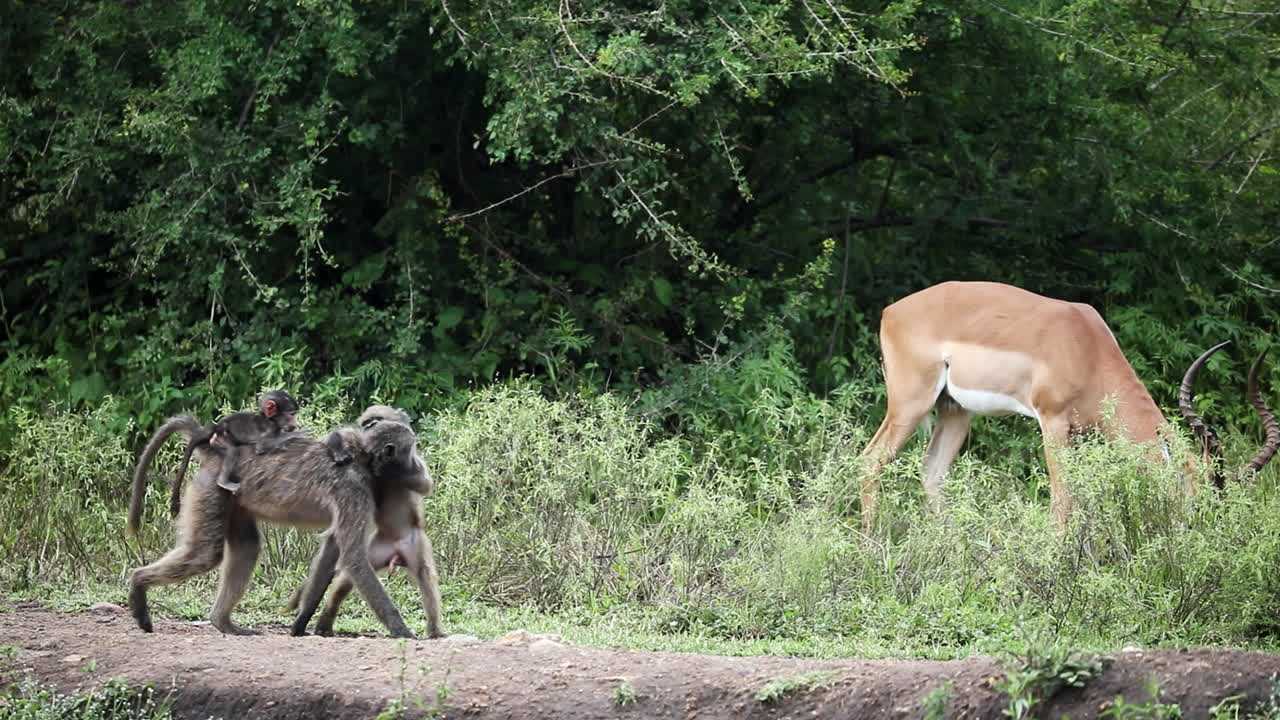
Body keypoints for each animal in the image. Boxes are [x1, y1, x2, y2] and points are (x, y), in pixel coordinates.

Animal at [127, 410, 423, 638]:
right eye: (411, 450)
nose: (419, 465)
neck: (363, 458)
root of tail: (213, 449)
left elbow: (332, 548)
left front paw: (300, 623)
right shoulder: (353, 491)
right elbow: (354, 556)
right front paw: (402, 631)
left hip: (235, 500)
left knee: (246, 547)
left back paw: (222, 622)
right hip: (211, 488)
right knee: (206, 554)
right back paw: (138, 584)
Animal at [167, 390, 301, 517]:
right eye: (291, 415)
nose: (296, 424)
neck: (269, 419)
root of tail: (217, 427)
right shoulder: (269, 429)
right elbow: (261, 446)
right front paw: (297, 434)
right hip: (222, 438)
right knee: (232, 451)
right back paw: (223, 482)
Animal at [287, 405, 445, 639]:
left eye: (377, 419)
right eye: (367, 422)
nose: (369, 427)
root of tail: (395, 553)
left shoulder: (412, 466)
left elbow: (425, 484)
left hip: (415, 545)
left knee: (425, 576)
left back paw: (435, 631)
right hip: (376, 551)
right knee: (347, 578)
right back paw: (324, 622)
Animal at [858, 280, 1279, 531]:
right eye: (1200, 503)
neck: (1088, 347)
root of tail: (891, 311)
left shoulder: (1082, 434)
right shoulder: (1053, 421)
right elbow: (1064, 498)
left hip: (957, 411)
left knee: (932, 472)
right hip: (910, 404)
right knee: (871, 460)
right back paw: (871, 547)